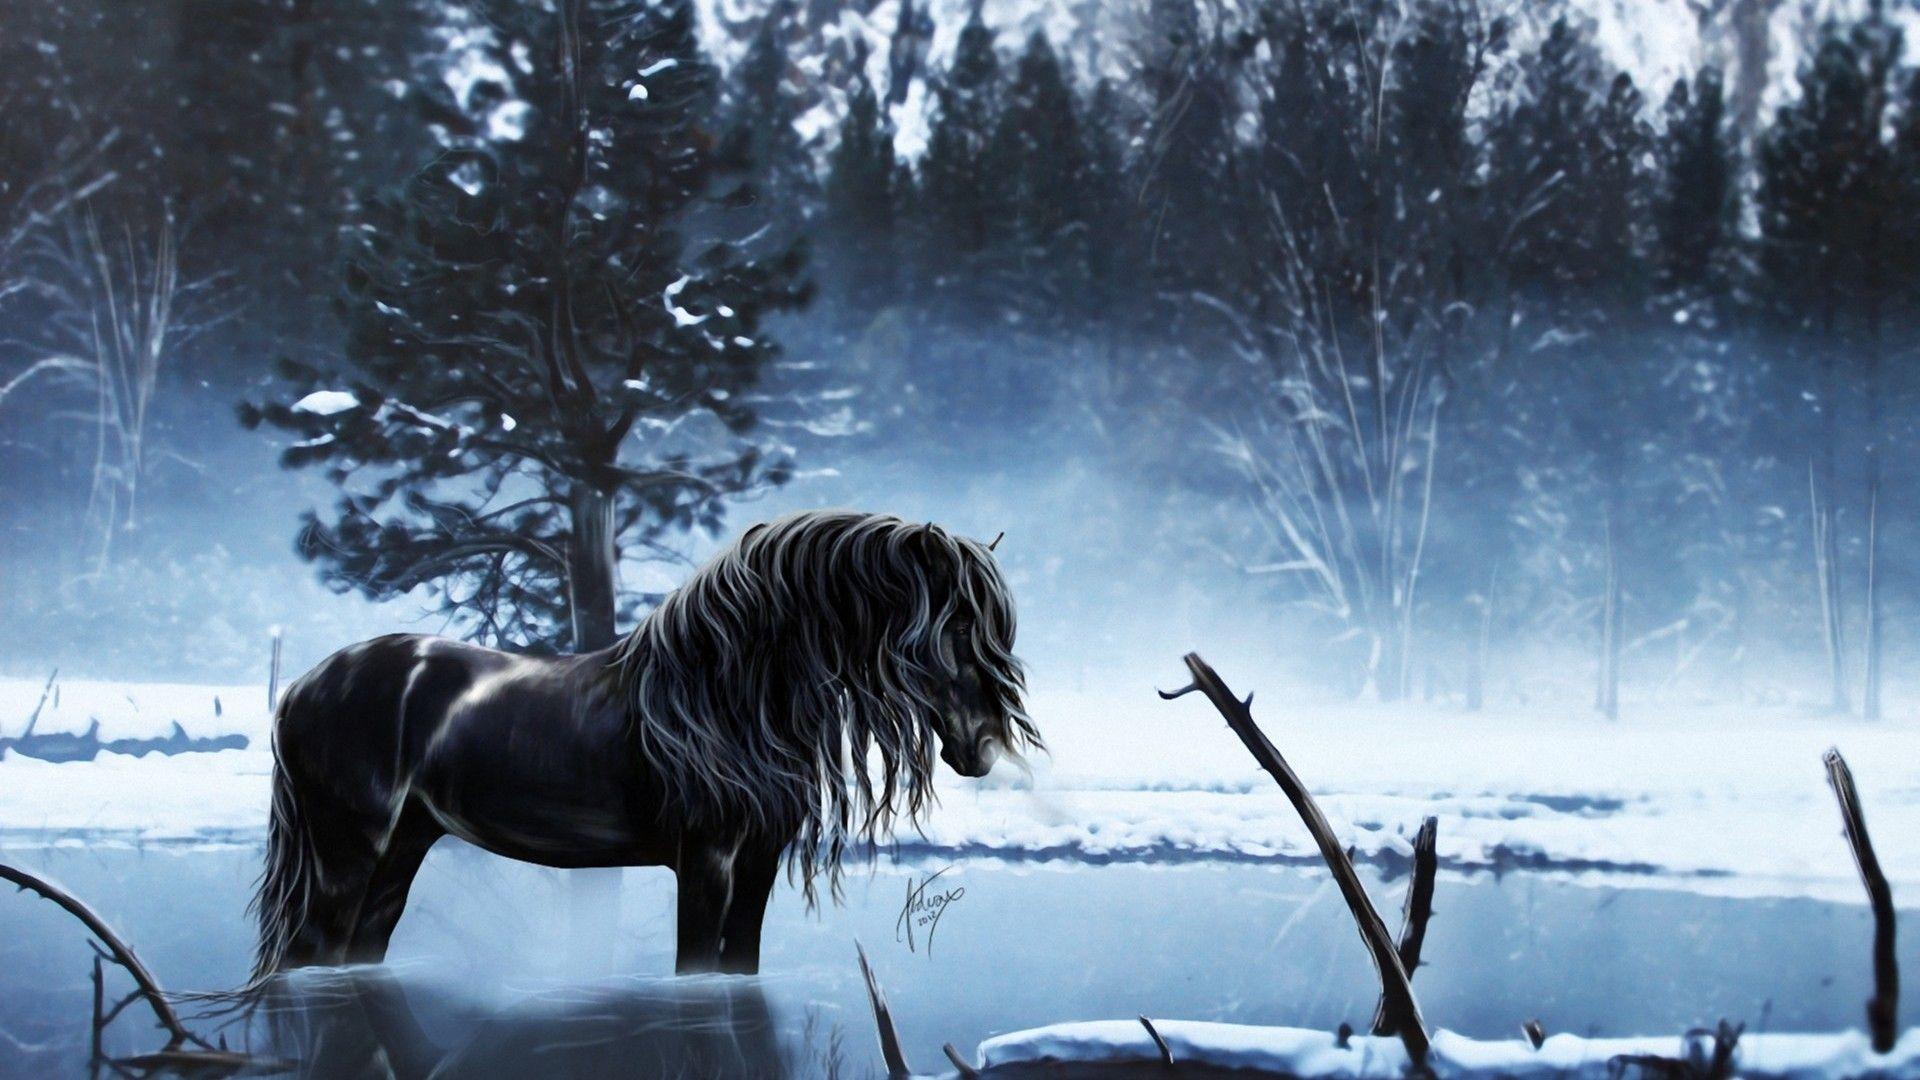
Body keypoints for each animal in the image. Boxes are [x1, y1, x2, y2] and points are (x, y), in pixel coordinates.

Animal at [249, 510, 1038, 979]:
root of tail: (303, 687)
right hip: (347, 853)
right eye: (951, 628)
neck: (725, 698)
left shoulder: (758, 862)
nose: (982, 749)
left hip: (401, 849)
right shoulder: (707, 862)